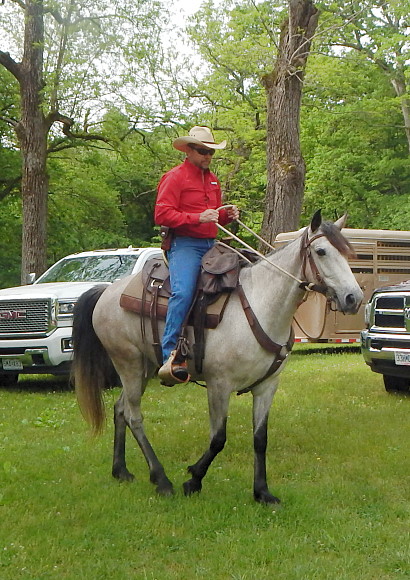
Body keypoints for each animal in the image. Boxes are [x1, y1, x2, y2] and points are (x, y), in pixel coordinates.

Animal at [73, 212, 362, 502]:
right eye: (321, 251)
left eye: (347, 252)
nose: (354, 298)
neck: (260, 305)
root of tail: (107, 291)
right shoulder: (219, 385)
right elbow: (218, 438)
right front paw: (193, 479)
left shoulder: (267, 387)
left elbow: (260, 439)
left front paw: (262, 492)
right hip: (128, 362)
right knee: (134, 416)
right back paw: (161, 479)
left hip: (145, 367)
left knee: (120, 408)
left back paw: (120, 470)